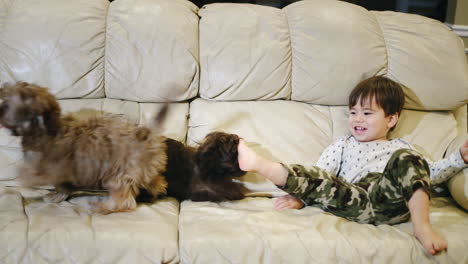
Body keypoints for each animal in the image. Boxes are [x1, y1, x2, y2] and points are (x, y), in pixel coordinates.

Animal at [0, 82, 168, 214]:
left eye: (7, 105)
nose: (1, 109)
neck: (44, 127)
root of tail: (146, 134)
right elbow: (62, 187)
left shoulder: (53, 169)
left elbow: (45, 179)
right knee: (156, 181)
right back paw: (156, 189)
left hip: (119, 174)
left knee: (124, 200)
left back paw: (103, 207)